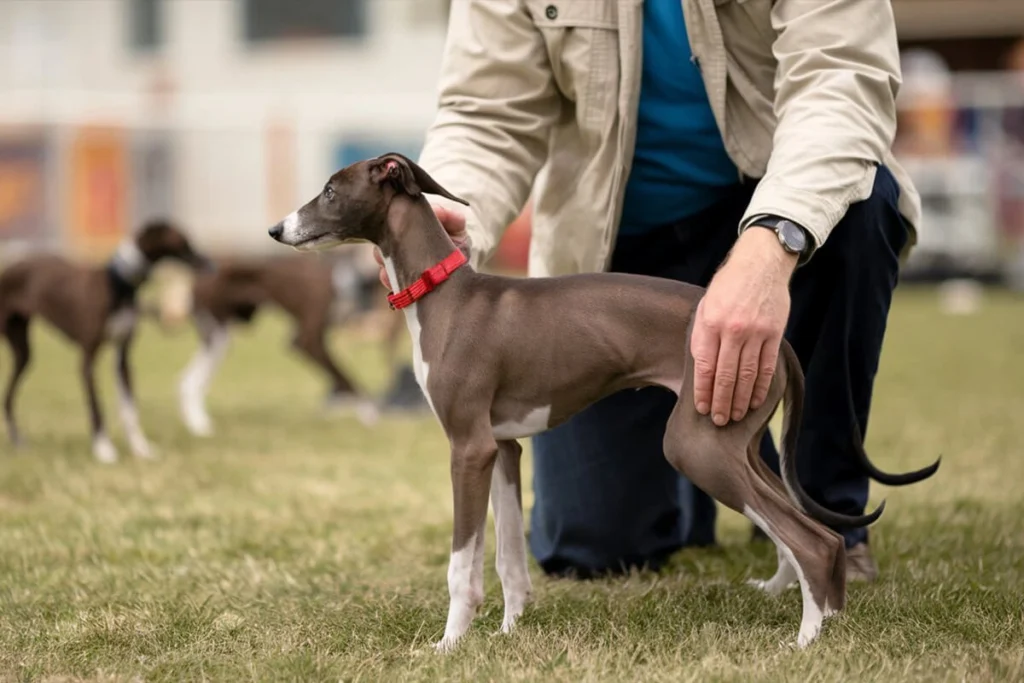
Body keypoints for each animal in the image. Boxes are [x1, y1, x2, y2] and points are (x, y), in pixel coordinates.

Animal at [0, 222, 209, 462]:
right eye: (183, 240)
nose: (207, 261)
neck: (120, 284)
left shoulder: (123, 358)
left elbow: (130, 409)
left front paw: (141, 448)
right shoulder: (88, 359)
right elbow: (96, 406)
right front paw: (103, 449)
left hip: (23, 352)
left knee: (8, 397)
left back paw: (18, 442)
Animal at [268, 154, 937, 651]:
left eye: (330, 190)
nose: (276, 230)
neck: (445, 294)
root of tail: (781, 339)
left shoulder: (468, 449)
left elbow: (464, 565)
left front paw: (448, 646)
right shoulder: (503, 449)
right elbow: (510, 562)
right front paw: (509, 634)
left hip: (696, 447)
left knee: (815, 540)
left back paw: (806, 642)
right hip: (736, 442)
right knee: (803, 532)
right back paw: (822, 623)